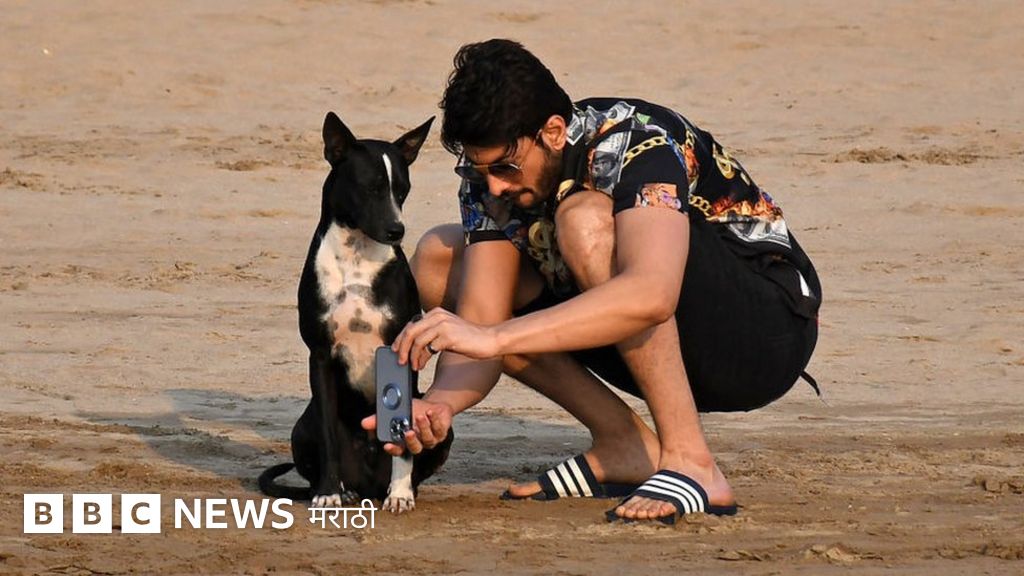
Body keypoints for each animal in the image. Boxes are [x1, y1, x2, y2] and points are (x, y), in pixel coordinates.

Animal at [259, 112, 453, 513]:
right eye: (370, 188)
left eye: (402, 190)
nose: (397, 230)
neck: (357, 258)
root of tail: (368, 485)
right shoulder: (320, 355)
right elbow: (329, 439)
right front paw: (328, 492)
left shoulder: (401, 351)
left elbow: (403, 444)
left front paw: (400, 493)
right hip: (302, 427)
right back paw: (343, 490)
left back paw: (400, 489)